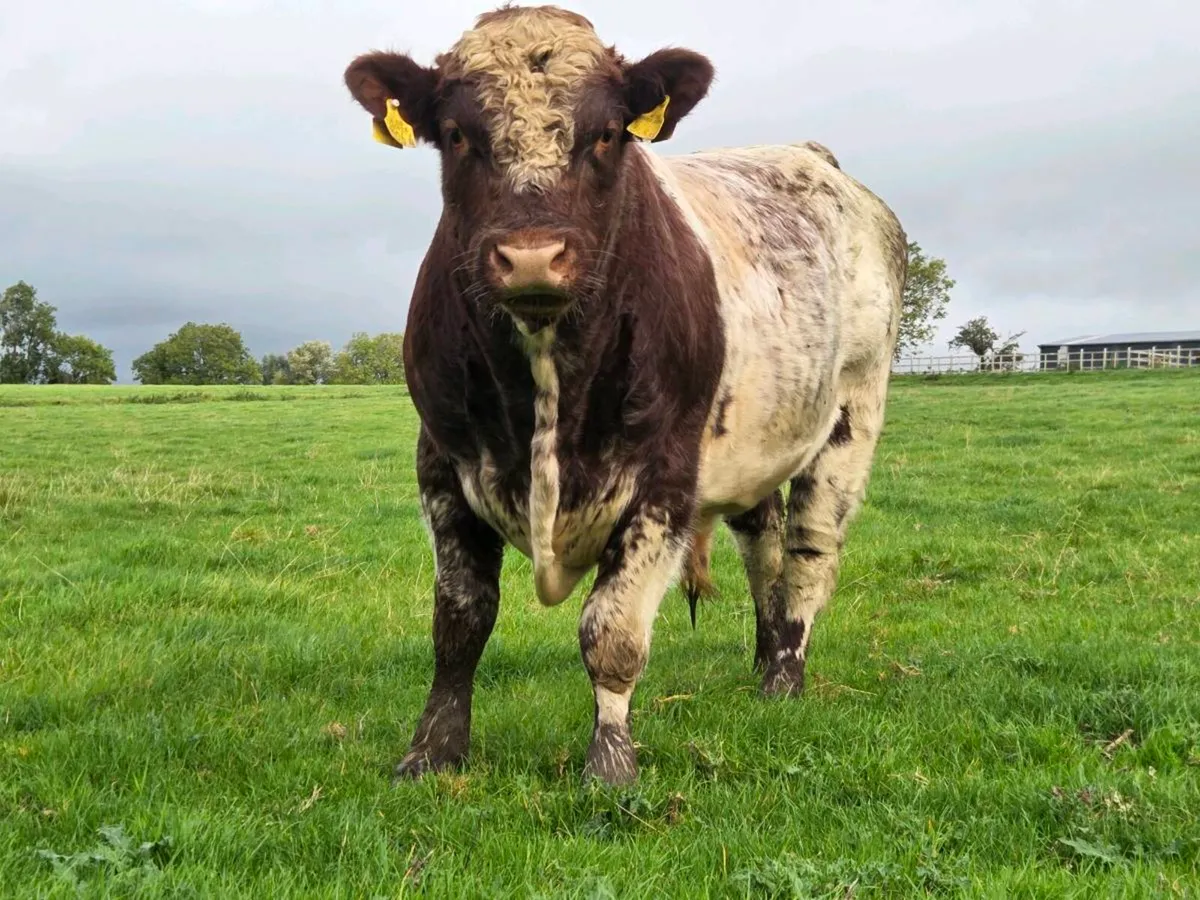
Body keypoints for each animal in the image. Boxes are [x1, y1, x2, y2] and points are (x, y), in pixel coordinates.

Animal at [343, 4, 907, 785]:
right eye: (457, 134)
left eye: (607, 133)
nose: (532, 257)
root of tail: (810, 157)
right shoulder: (441, 464)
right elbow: (459, 620)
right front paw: (432, 752)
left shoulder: (663, 477)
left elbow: (611, 631)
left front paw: (610, 764)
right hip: (755, 436)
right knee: (761, 542)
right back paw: (762, 661)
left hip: (854, 409)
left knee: (808, 552)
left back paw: (784, 677)